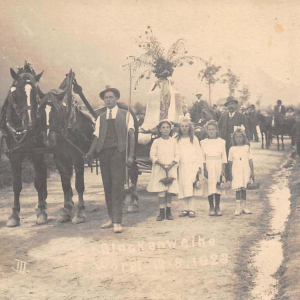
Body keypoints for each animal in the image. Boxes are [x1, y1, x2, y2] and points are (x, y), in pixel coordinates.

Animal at [1, 62, 47, 227]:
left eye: (35, 94)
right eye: (16, 94)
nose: (30, 123)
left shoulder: (38, 153)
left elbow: (38, 181)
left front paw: (41, 212)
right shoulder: (14, 154)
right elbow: (16, 184)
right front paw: (14, 215)